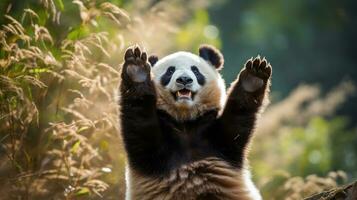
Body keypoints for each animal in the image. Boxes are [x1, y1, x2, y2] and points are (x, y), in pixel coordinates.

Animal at [118, 44, 272, 200]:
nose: (184, 79)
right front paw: (136, 70)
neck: (185, 121)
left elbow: (236, 122)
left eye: (195, 70)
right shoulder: (153, 154)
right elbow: (141, 124)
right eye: (170, 71)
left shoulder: (220, 142)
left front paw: (253, 79)